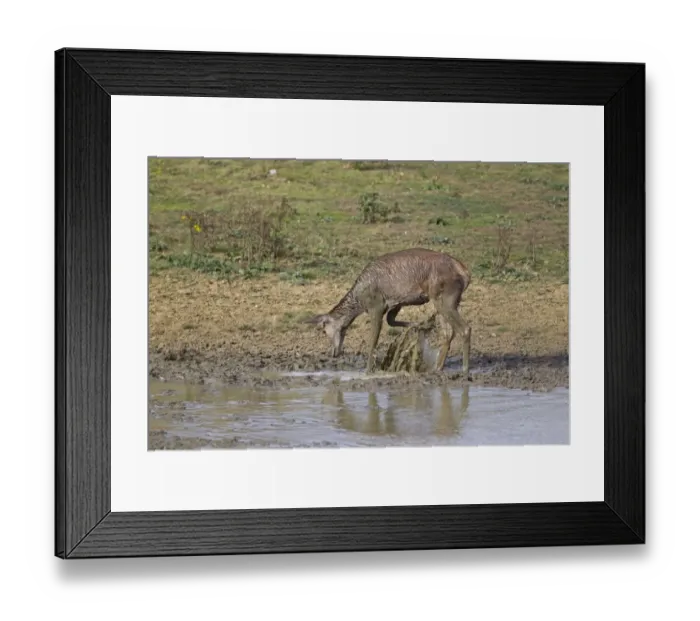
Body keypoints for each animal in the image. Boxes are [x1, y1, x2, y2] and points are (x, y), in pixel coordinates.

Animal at [303, 248, 472, 375]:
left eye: (323, 330)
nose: (333, 352)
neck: (359, 302)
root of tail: (465, 273)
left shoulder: (376, 306)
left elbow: (373, 340)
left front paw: (368, 371)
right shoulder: (396, 302)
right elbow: (391, 320)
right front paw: (420, 326)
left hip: (444, 297)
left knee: (465, 329)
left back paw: (465, 369)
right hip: (445, 300)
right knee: (448, 333)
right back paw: (437, 368)